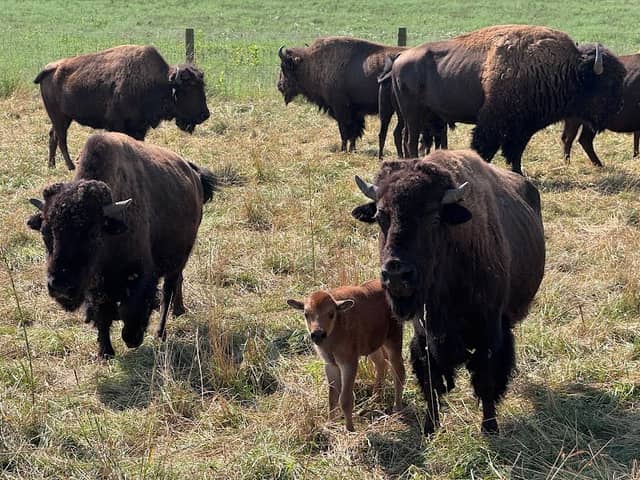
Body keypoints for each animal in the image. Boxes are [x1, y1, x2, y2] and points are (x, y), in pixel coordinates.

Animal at [27, 132, 216, 358]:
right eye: (45, 233)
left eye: (93, 234)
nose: (60, 286)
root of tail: (193, 174)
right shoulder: (97, 288)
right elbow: (103, 315)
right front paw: (105, 352)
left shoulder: (140, 276)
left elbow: (131, 311)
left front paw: (133, 339)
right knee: (177, 282)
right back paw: (178, 311)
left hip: (178, 258)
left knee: (168, 290)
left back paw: (160, 333)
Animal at [34, 45, 210, 170]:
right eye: (188, 88)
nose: (205, 115)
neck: (161, 82)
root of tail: (50, 68)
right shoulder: (117, 125)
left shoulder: (139, 127)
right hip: (59, 117)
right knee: (61, 138)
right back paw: (70, 166)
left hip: (63, 118)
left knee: (53, 136)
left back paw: (52, 165)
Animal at [352, 149, 545, 434]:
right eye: (380, 217)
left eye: (434, 217)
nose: (397, 274)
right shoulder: (424, 334)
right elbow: (431, 380)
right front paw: (429, 427)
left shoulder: (489, 332)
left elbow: (486, 380)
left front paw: (490, 427)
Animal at [391, 25, 626, 174]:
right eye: (608, 83)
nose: (617, 109)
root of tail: (400, 58)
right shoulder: (494, 123)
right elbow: (485, 147)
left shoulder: (523, 128)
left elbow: (515, 152)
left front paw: (518, 172)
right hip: (413, 114)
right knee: (410, 140)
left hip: (420, 116)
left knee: (407, 138)